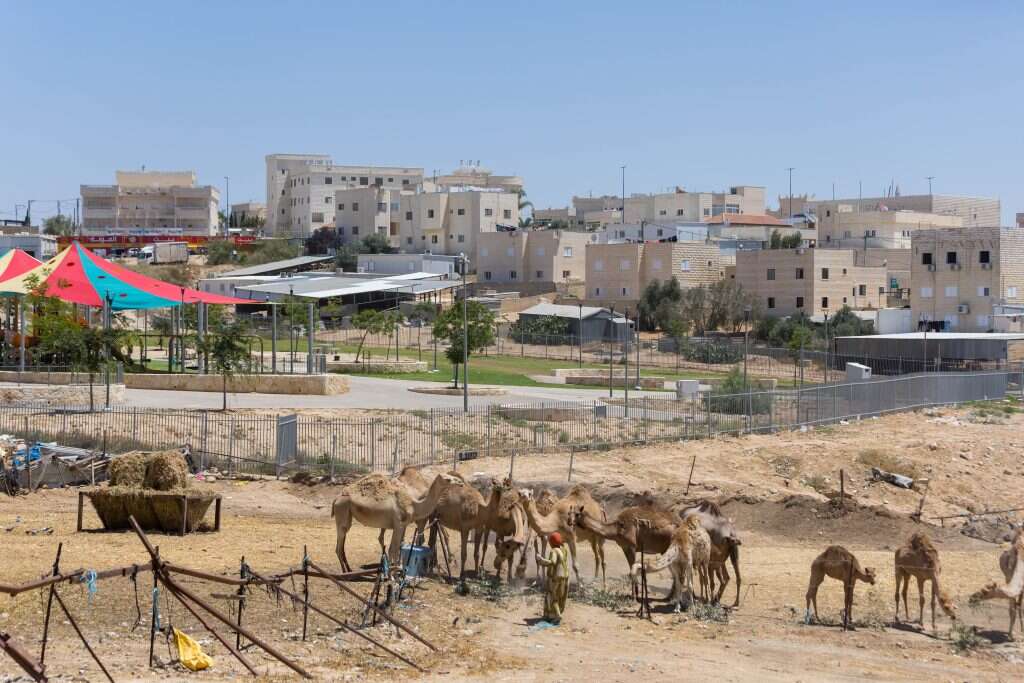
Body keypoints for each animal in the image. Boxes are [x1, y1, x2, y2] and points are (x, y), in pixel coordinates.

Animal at [331, 471, 460, 573]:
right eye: (448, 479)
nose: (460, 482)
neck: (414, 504)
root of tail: (336, 498)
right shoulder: (399, 524)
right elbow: (394, 548)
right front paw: (392, 572)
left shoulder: (401, 526)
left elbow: (395, 547)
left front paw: (394, 568)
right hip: (342, 510)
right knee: (338, 546)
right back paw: (344, 572)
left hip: (346, 515)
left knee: (342, 544)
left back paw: (349, 569)